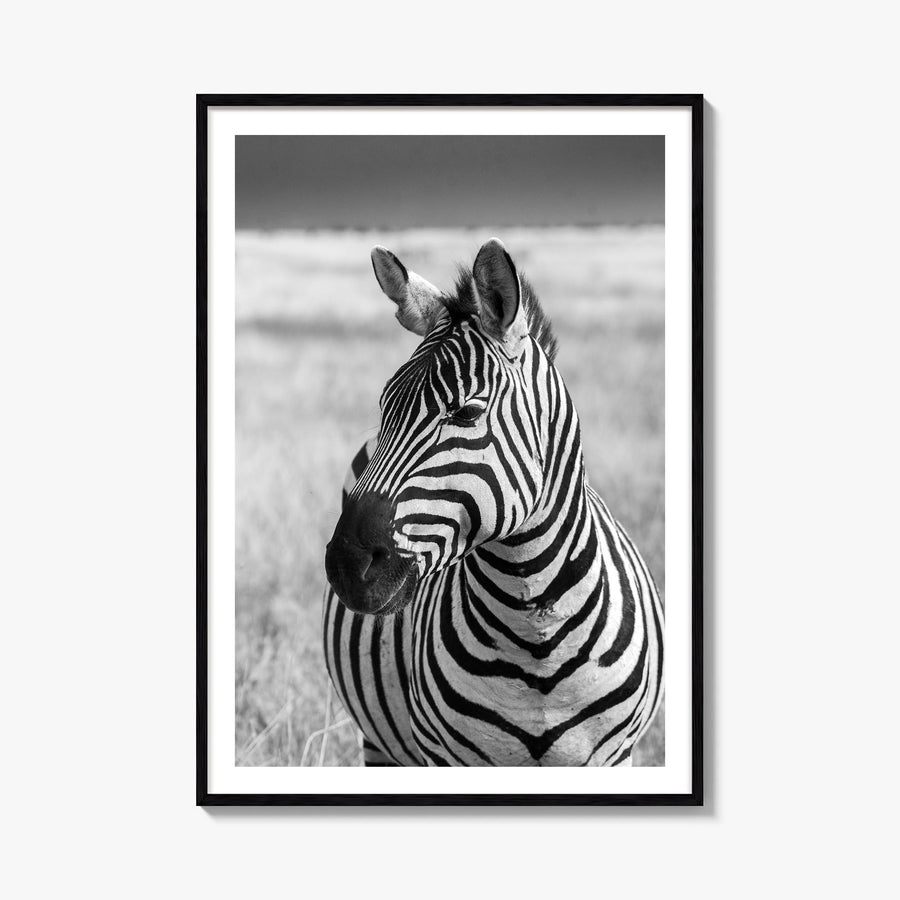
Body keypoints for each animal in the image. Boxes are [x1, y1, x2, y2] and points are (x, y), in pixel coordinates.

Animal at [322, 238, 663, 766]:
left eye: (466, 412)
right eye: (384, 408)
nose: (346, 564)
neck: (536, 635)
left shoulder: (615, 755)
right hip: (379, 743)